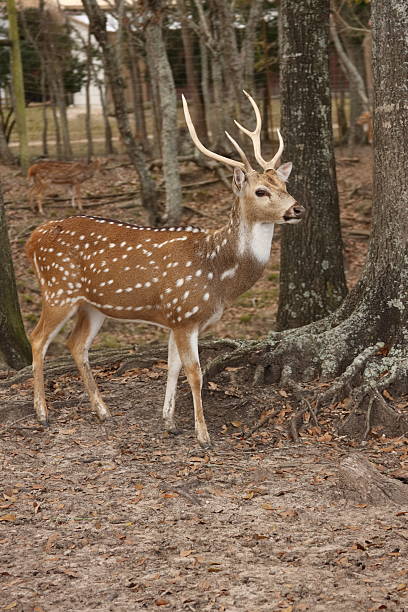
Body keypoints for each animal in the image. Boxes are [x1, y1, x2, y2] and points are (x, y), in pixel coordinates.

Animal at [23, 92, 302, 444]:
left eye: (284, 185)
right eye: (261, 191)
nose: (297, 208)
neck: (217, 273)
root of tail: (32, 238)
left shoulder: (176, 318)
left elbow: (173, 367)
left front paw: (169, 421)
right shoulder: (184, 314)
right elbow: (194, 373)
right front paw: (203, 436)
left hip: (92, 305)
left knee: (76, 344)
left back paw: (102, 411)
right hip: (59, 288)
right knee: (37, 339)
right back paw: (42, 414)